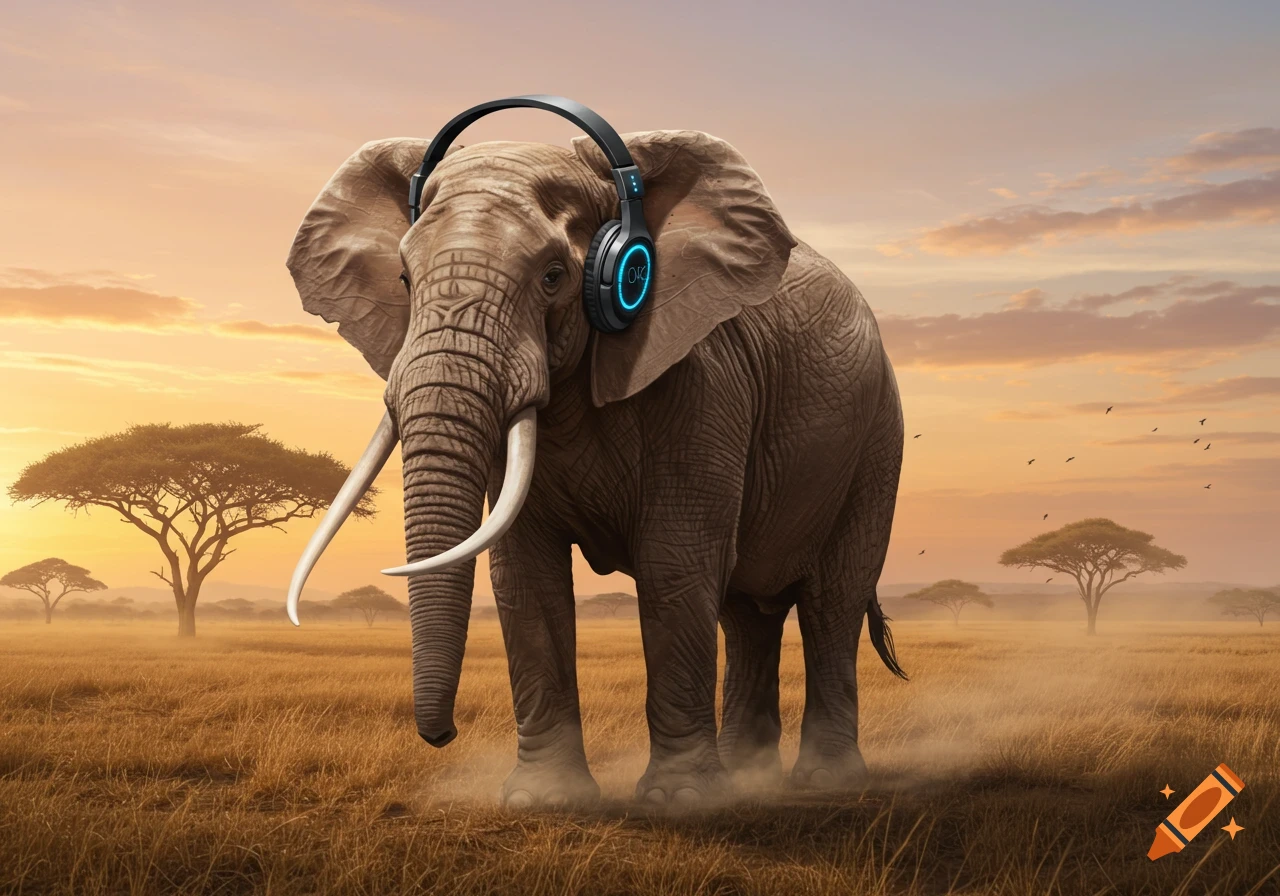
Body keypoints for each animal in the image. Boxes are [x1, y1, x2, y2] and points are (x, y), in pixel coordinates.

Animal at [285, 128, 907, 808]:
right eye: (403, 277)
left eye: (554, 276)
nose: (442, 735)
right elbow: (526, 574)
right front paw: (544, 801)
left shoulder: (701, 380)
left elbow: (675, 563)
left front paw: (678, 802)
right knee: (746, 614)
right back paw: (750, 777)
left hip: (877, 441)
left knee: (831, 600)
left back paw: (823, 782)